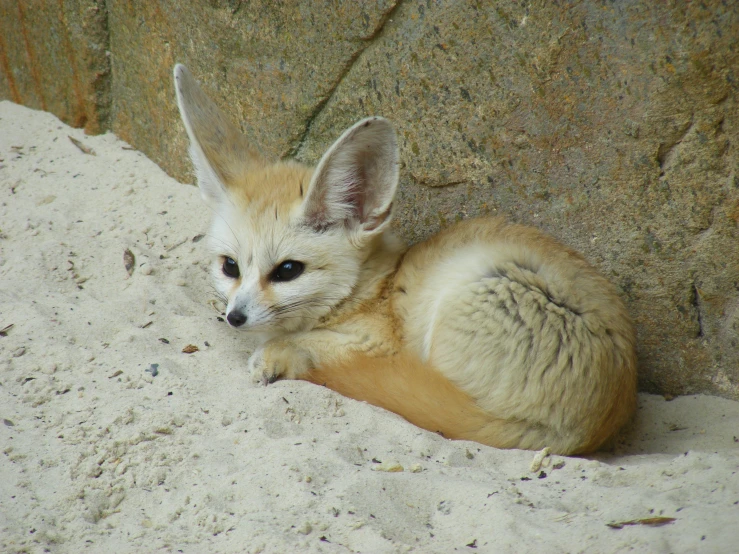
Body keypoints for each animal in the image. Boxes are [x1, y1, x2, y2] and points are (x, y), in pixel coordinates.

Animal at [172, 63, 636, 452]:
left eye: (287, 270)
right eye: (230, 266)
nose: (234, 317)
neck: (372, 288)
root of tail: (591, 422)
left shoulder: (377, 344)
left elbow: (307, 343)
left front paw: (277, 355)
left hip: (469, 293)